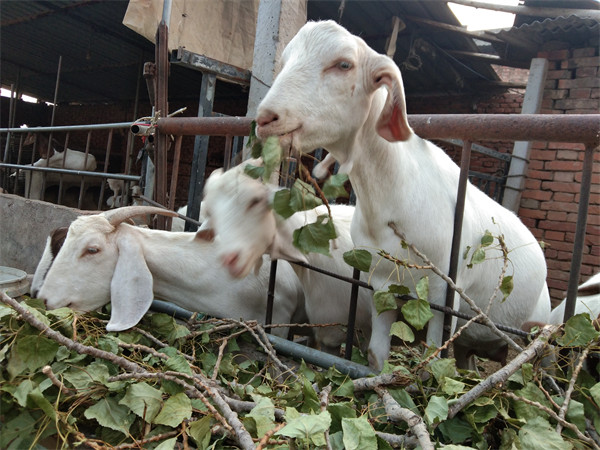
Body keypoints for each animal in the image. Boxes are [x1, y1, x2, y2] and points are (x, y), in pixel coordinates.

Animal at [255, 20, 552, 370]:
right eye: (285, 60)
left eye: (344, 64)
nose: (265, 119)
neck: (392, 201)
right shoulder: (381, 285)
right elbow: (376, 353)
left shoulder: (443, 293)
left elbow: (432, 359)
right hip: (468, 341)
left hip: (539, 335)